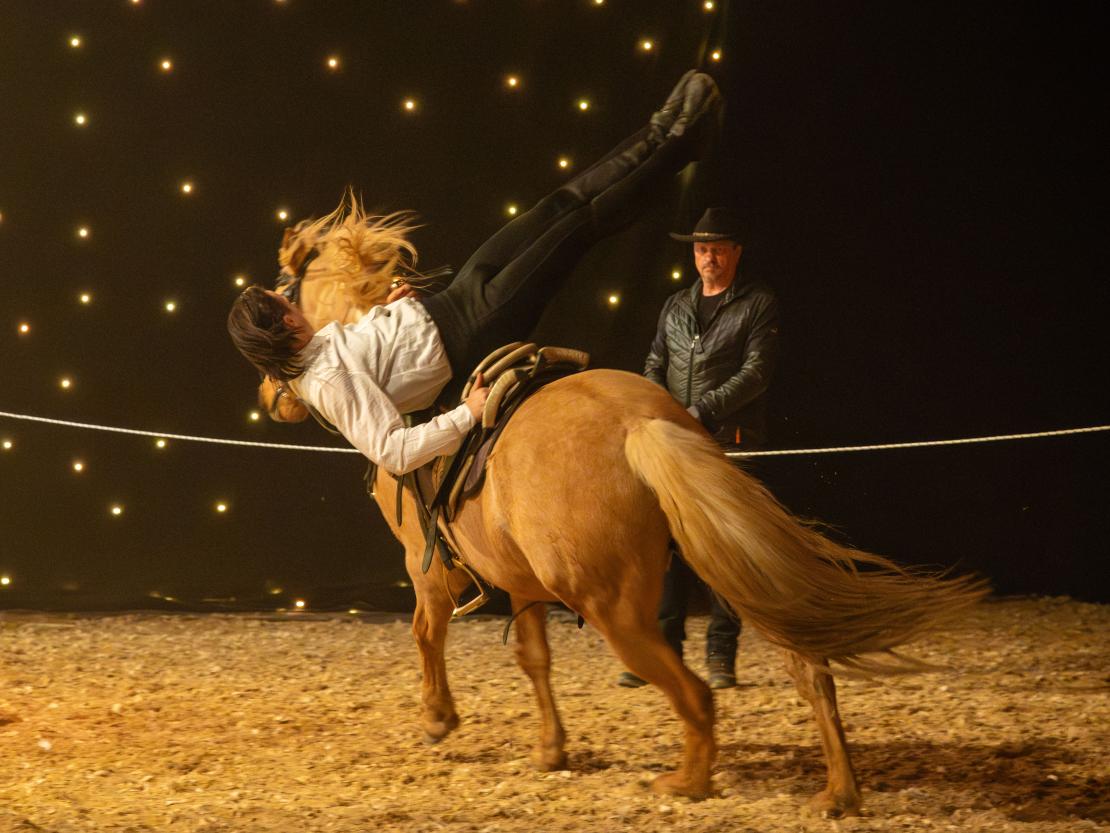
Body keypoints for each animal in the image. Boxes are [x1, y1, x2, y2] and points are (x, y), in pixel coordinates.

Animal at [253, 195, 988, 817]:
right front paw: (551, 748)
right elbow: (533, 657)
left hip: (615, 608)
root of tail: (640, 425)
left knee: (695, 693)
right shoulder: (522, 580)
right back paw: (838, 791)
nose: (272, 397)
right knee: (811, 670)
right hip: (728, 562)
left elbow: (424, 632)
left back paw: (687, 782)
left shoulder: (426, 564)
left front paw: (439, 718)